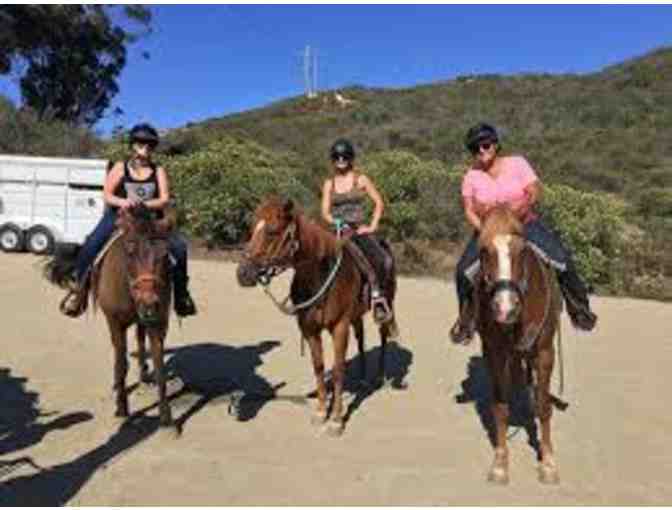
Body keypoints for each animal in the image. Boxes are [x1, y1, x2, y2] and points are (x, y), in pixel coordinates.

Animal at [44, 203, 176, 430]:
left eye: (164, 254)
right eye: (130, 251)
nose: (149, 302)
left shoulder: (157, 322)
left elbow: (159, 363)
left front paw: (166, 415)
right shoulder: (115, 322)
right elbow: (121, 362)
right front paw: (122, 407)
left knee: (140, 339)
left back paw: (143, 373)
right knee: (119, 351)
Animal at [238, 197, 400, 436]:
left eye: (272, 231)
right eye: (252, 229)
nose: (243, 274)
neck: (319, 274)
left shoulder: (339, 326)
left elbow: (339, 369)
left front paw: (336, 420)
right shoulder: (310, 329)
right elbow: (319, 366)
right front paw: (322, 412)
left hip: (385, 304)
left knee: (383, 335)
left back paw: (379, 376)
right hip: (356, 315)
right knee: (361, 339)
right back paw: (362, 379)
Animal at [476, 205, 564, 484]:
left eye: (522, 251)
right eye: (484, 250)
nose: (505, 308)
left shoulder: (545, 354)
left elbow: (544, 407)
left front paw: (548, 463)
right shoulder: (495, 353)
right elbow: (500, 407)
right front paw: (500, 464)